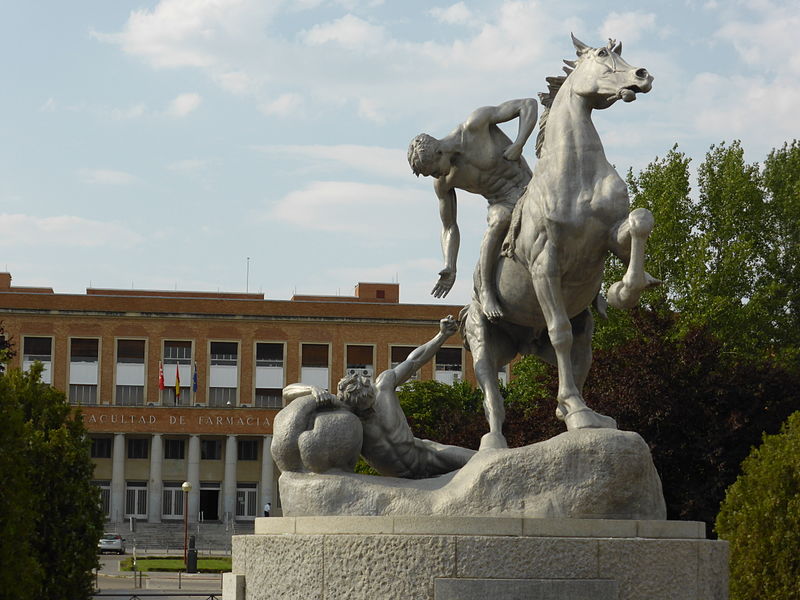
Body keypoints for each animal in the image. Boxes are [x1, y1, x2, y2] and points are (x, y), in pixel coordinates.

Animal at [466, 35, 660, 450]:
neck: (577, 173)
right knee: (491, 394)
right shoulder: (545, 265)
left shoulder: (611, 237)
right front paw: (578, 414)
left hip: (577, 333)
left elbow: (641, 220)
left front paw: (625, 291)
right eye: (602, 54)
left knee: (576, 355)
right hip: (483, 346)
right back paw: (495, 442)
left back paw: (582, 412)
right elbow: (559, 333)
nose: (643, 75)